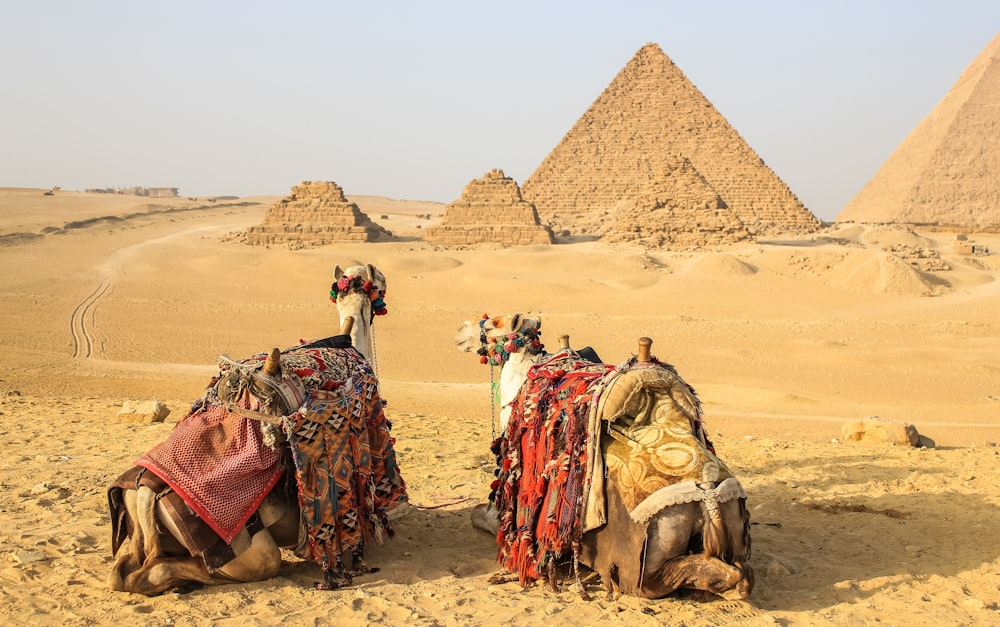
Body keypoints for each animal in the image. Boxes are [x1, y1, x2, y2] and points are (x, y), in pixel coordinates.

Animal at [454, 316, 752, 600]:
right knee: (739, 571)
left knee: (662, 580)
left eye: (491, 325)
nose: (460, 332)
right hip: (733, 526)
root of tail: (708, 494)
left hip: (657, 545)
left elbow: (483, 516)